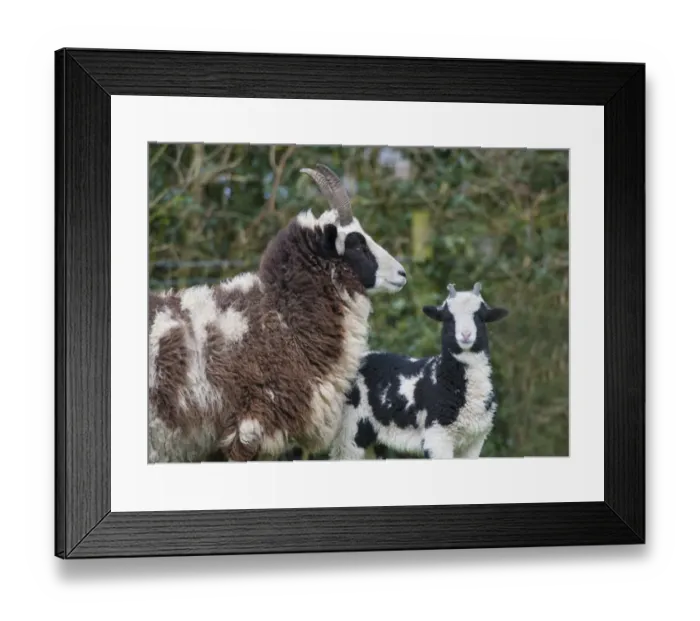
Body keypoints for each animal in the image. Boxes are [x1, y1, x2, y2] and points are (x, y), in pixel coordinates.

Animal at [329, 282, 509, 461]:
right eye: (448, 318)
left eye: (480, 317)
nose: (465, 335)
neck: (446, 376)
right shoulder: (437, 437)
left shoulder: (475, 441)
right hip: (351, 429)